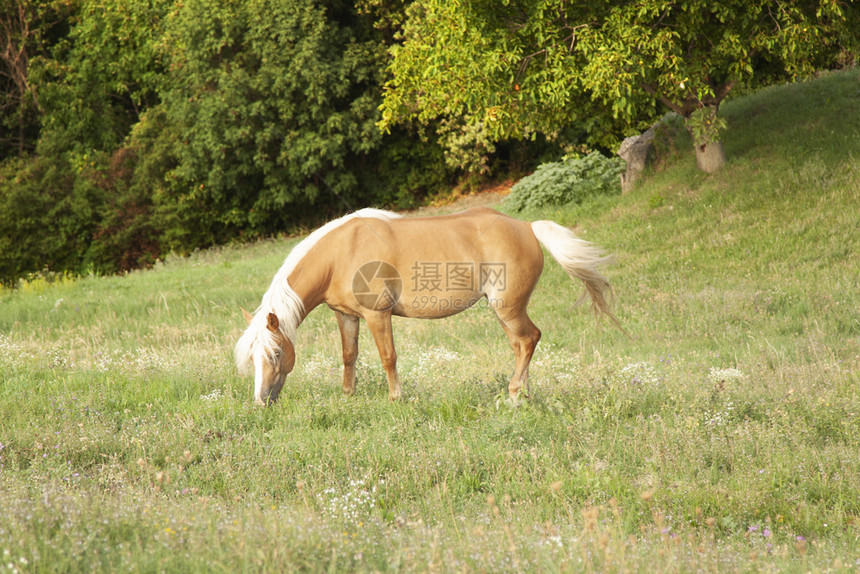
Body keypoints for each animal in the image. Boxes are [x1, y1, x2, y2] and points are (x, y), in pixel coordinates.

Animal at [232, 207, 616, 404]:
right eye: (252, 358)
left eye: (276, 354)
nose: (261, 400)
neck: (340, 253)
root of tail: (525, 226)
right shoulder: (346, 316)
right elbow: (349, 356)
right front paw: (347, 396)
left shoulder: (377, 315)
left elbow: (388, 357)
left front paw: (396, 398)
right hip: (506, 311)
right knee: (521, 344)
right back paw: (521, 392)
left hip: (507, 307)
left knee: (528, 339)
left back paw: (512, 395)